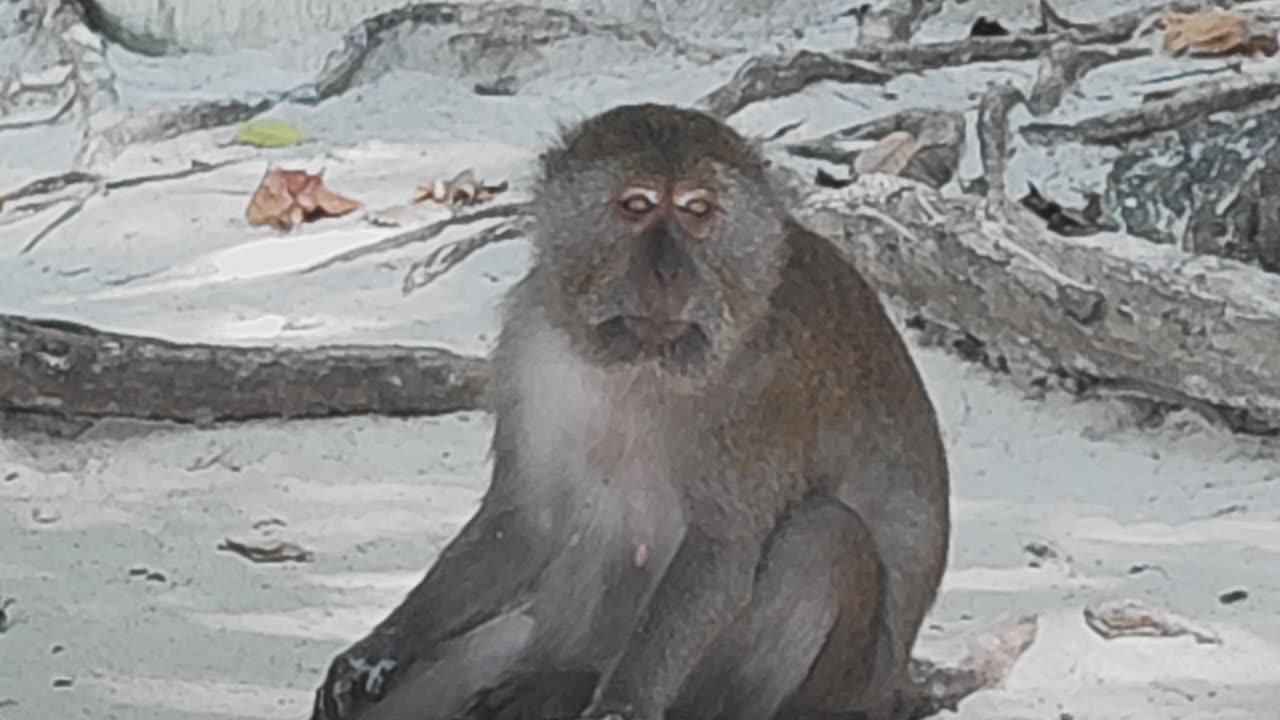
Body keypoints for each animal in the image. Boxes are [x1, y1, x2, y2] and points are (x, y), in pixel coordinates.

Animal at [310, 102, 950, 720]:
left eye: (696, 210)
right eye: (636, 206)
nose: (666, 271)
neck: (643, 364)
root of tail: (891, 688)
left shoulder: (769, 382)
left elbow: (724, 545)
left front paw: (622, 701)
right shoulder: (531, 340)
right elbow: (526, 517)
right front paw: (380, 648)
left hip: (842, 686)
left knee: (823, 536)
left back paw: (585, 689)